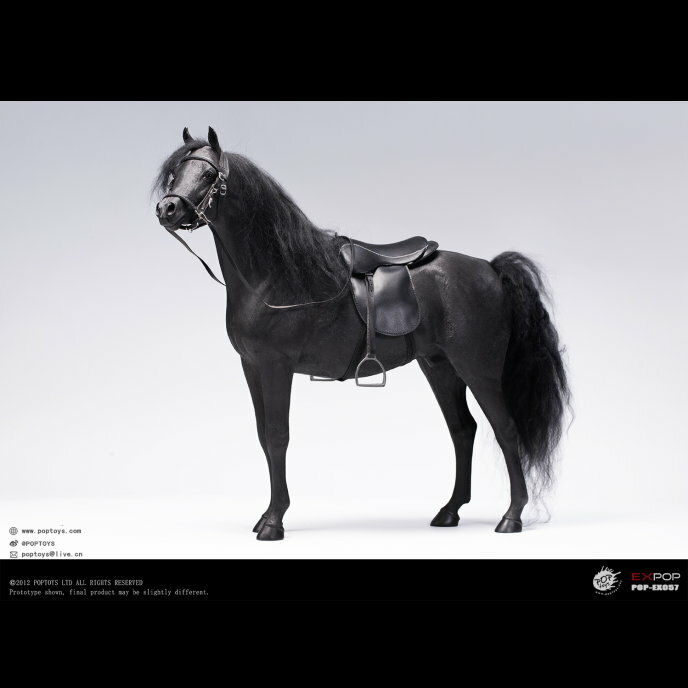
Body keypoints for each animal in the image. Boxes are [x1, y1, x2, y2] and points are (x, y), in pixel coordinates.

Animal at [153, 126, 570, 541]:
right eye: (175, 172)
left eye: (209, 175)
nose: (167, 209)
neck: (275, 277)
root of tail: (491, 269)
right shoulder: (252, 367)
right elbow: (262, 436)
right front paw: (267, 515)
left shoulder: (276, 367)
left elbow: (276, 437)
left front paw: (274, 521)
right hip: (440, 367)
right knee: (462, 429)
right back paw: (450, 511)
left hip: (478, 368)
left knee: (506, 429)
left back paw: (512, 517)